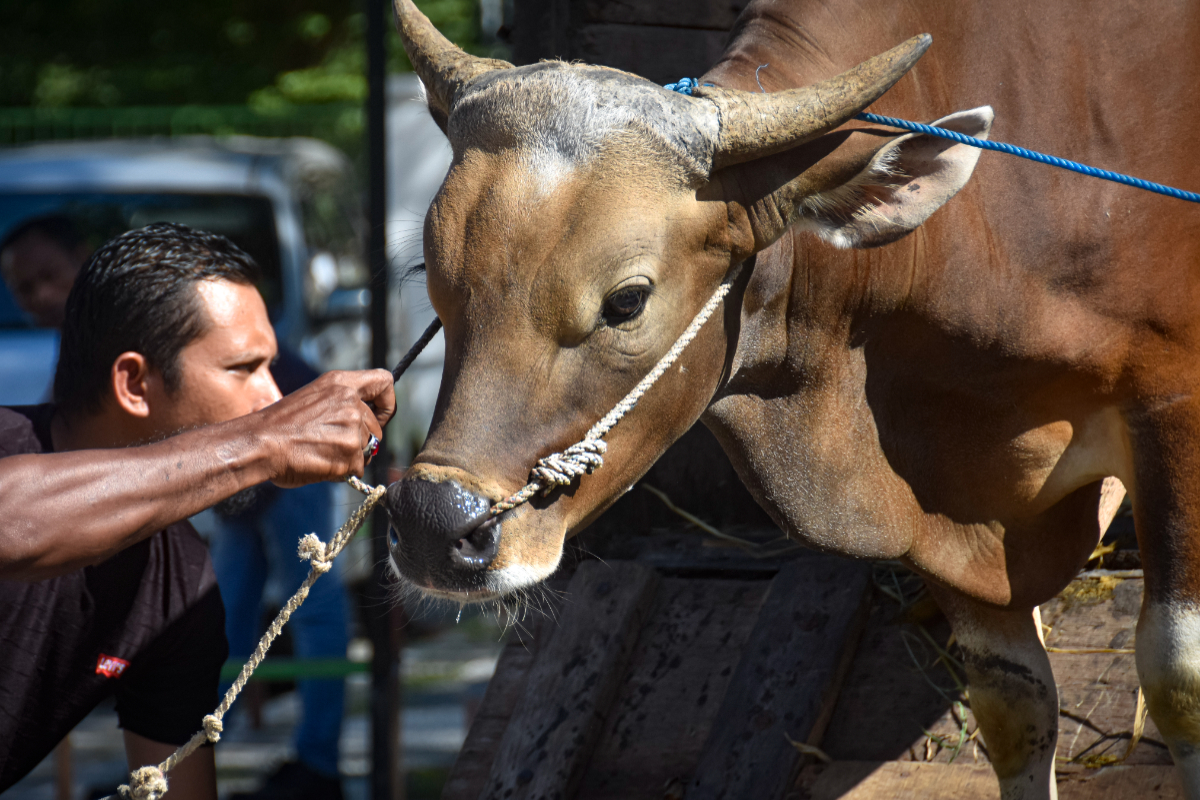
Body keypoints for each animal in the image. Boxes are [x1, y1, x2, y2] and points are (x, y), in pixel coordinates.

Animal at [382, 0, 1200, 796]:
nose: (431, 523)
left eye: (626, 300)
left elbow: (1176, 679)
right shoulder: (946, 510)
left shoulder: (1172, 411)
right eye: (433, 275)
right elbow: (1012, 707)